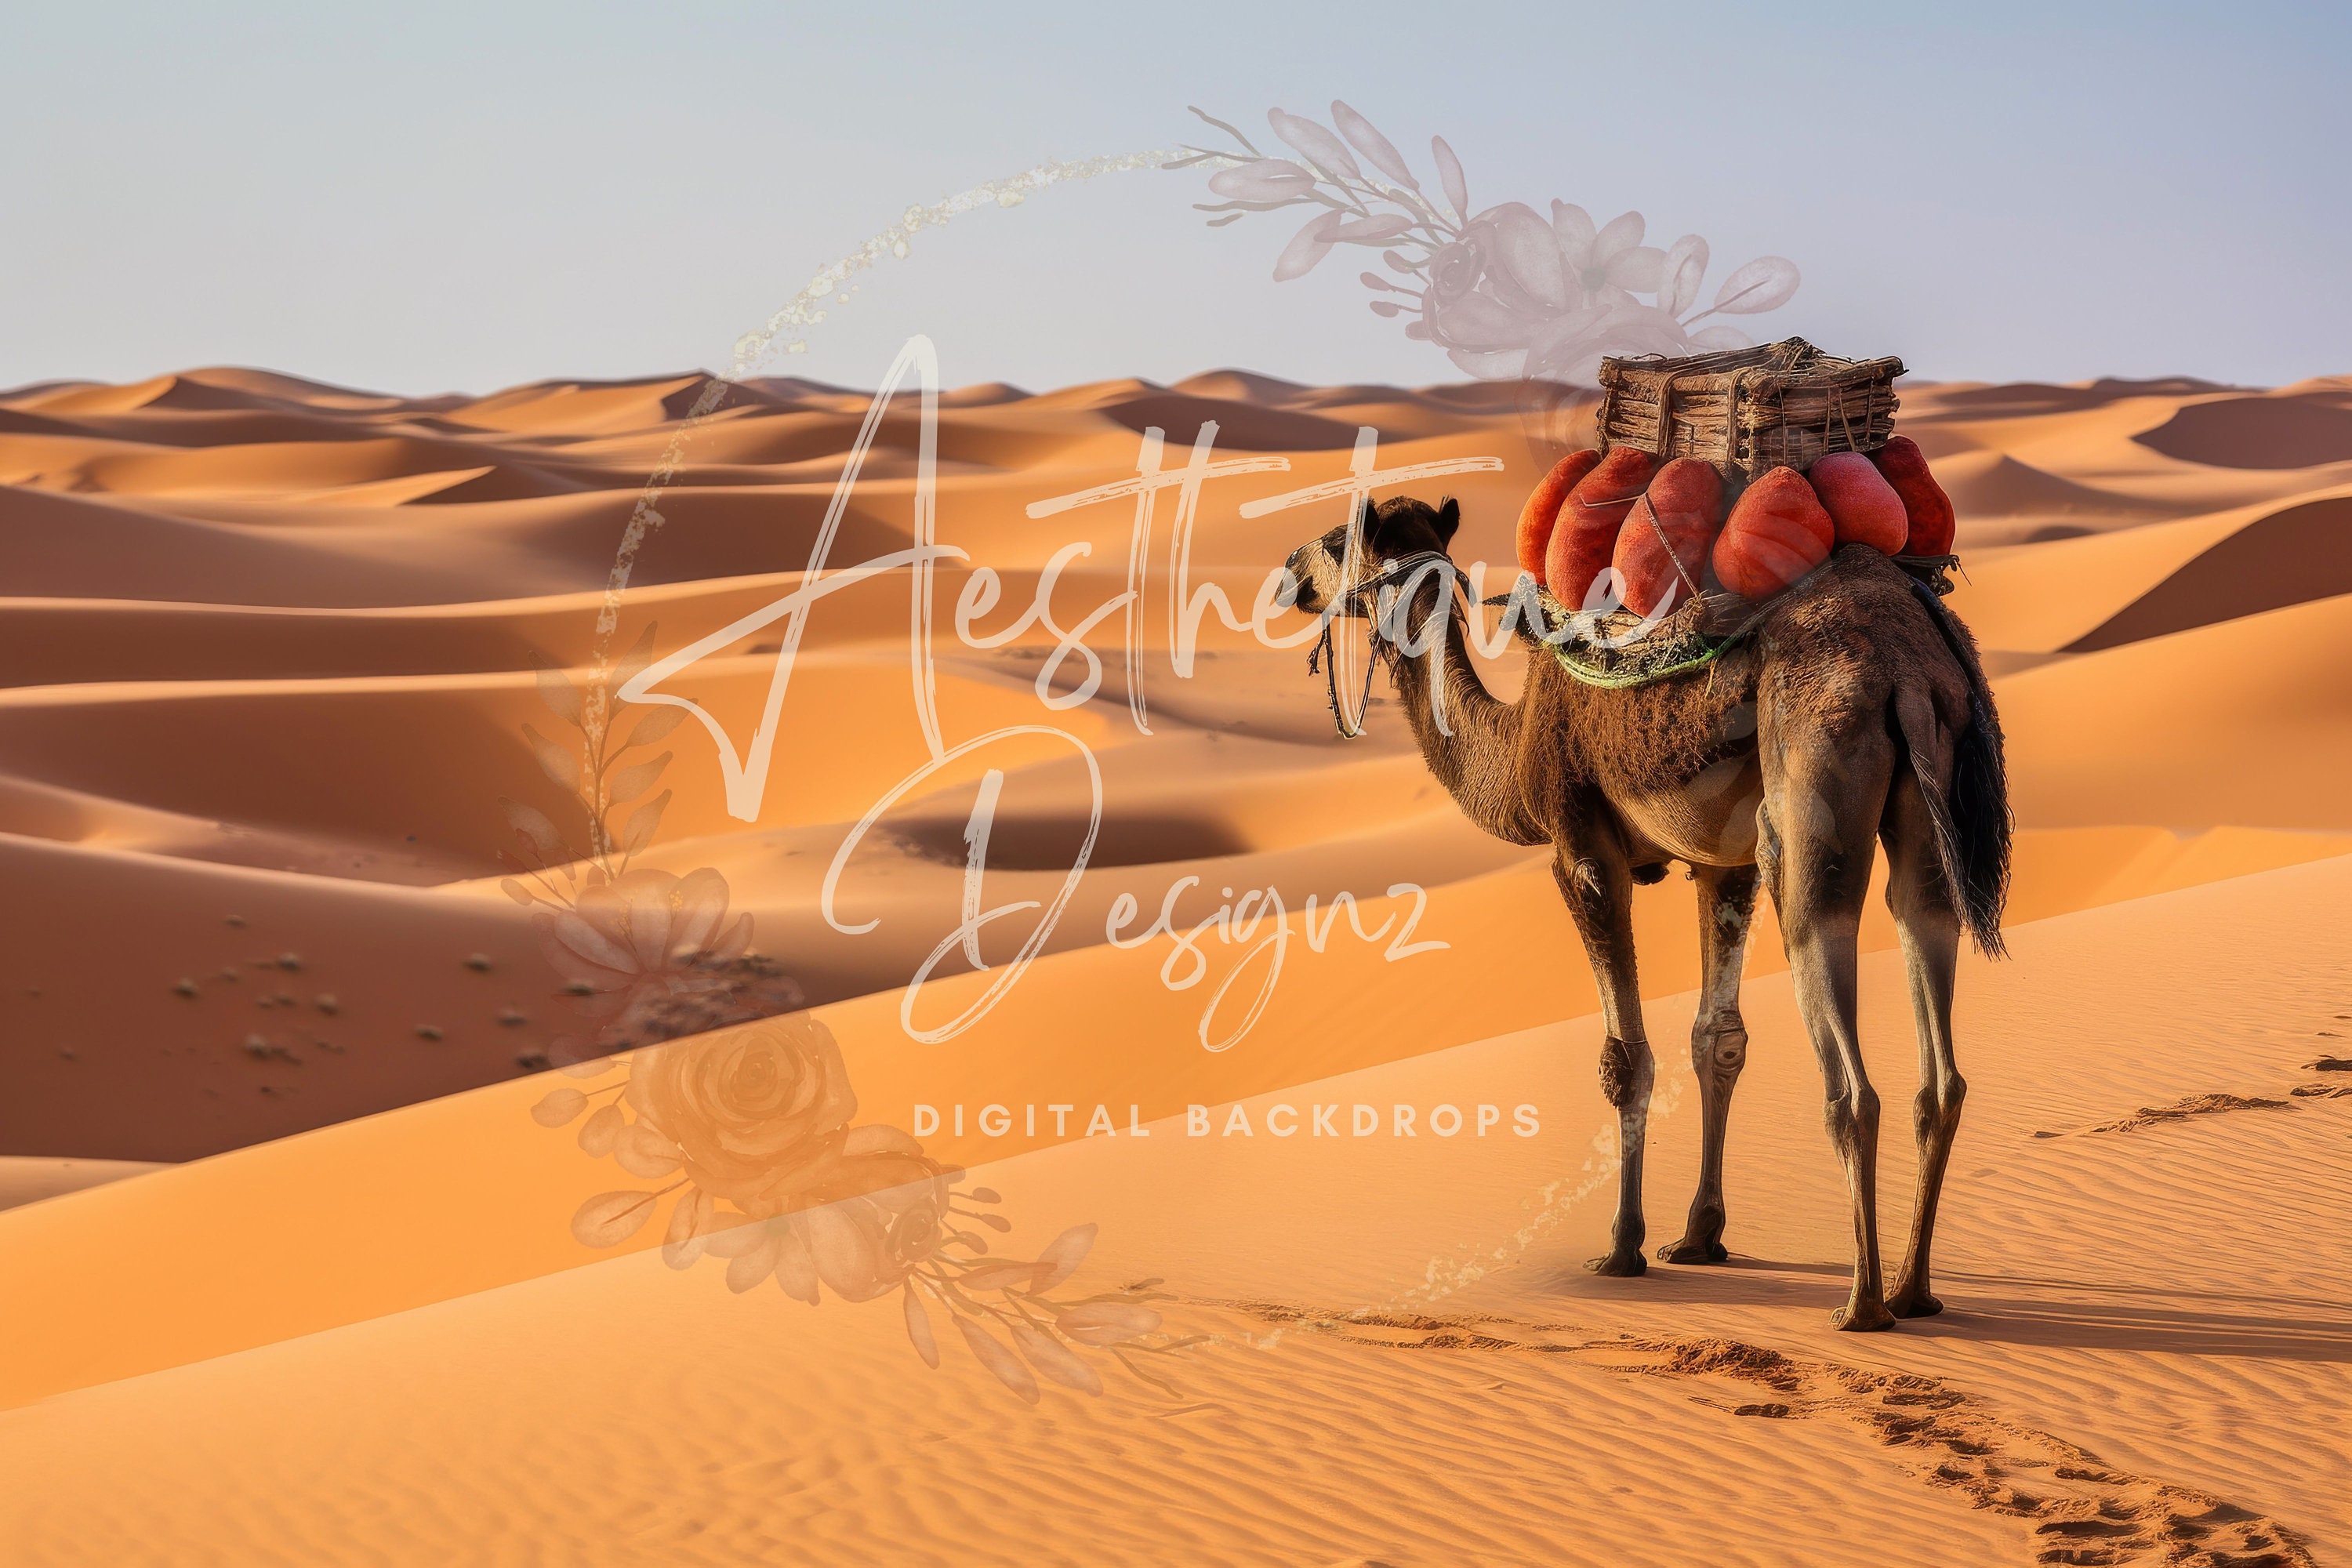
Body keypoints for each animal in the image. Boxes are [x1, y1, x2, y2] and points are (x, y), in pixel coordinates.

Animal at [1283, 494, 2011, 1331]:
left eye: (1336, 541)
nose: (1291, 572)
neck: (1516, 741)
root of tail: (1905, 671)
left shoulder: (1582, 850)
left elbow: (1625, 1059)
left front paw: (1623, 1247)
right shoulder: (1721, 867)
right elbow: (1717, 1041)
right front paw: (1700, 1236)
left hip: (1813, 781)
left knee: (1844, 1050)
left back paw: (1860, 1304)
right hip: (1931, 799)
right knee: (1931, 990)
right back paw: (1912, 1289)